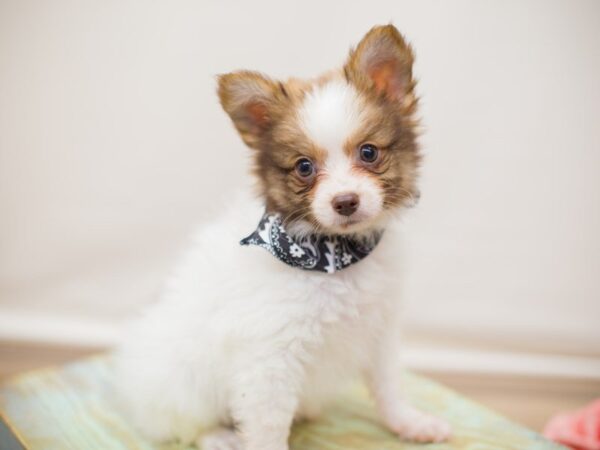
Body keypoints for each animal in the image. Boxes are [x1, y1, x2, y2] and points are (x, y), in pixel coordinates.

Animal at [115, 23, 450, 450]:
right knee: (185, 425)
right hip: (181, 383)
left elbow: (389, 387)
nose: (345, 201)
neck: (335, 257)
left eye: (369, 152)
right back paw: (220, 437)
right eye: (304, 167)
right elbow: (267, 428)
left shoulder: (379, 332)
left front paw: (409, 422)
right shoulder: (269, 359)